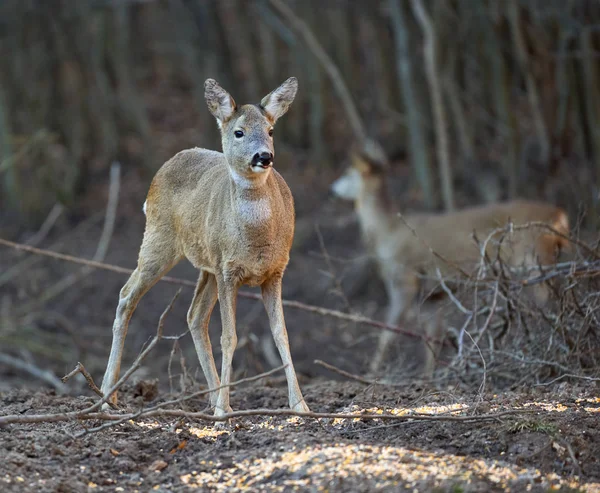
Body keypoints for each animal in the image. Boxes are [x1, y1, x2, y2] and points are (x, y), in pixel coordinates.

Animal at [100, 77, 310, 416]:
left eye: (270, 130)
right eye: (238, 132)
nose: (264, 156)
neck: (256, 240)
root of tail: (165, 166)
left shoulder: (275, 271)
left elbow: (282, 335)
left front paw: (300, 405)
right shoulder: (228, 270)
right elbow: (229, 336)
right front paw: (224, 411)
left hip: (206, 263)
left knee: (194, 315)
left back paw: (210, 396)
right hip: (159, 240)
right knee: (126, 295)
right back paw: (108, 397)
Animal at [330, 148, 568, 374]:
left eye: (348, 172)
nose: (333, 188)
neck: (386, 232)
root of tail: (560, 215)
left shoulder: (404, 277)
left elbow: (388, 333)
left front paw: (371, 375)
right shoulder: (432, 293)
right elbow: (433, 335)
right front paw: (430, 376)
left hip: (533, 258)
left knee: (547, 298)